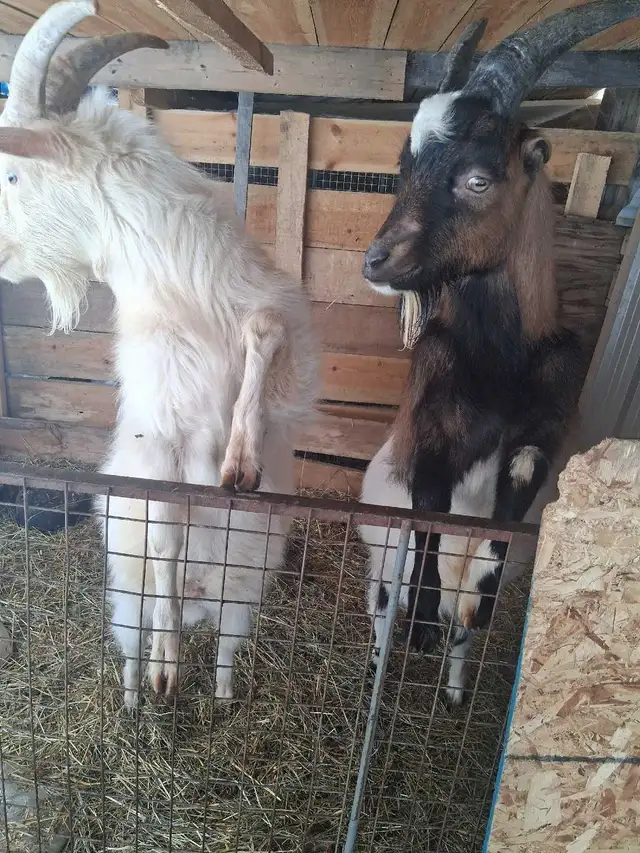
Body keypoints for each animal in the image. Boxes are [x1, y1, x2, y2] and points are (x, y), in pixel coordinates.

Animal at [0, 1, 317, 706]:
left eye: (11, 170)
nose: (3, 260)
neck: (182, 291)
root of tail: (205, 602)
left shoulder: (278, 322)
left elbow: (263, 338)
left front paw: (241, 463)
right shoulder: (160, 451)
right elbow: (170, 537)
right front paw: (166, 668)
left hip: (241, 598)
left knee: (225, 650)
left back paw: (222, 695)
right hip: (125, 596)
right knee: (137, 629)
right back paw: (140, 691)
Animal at [358, 0, 640, 705]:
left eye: (478, 179)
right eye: (404, 168)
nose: (376, 262)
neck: (499, 366)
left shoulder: (543, 429)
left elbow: (509, 510)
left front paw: (474, 607)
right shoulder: (429, 430)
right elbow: (430, 511)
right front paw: (422, 627)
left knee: (462, 629)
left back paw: (457, 683)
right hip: (379, 550)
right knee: (381, 606)